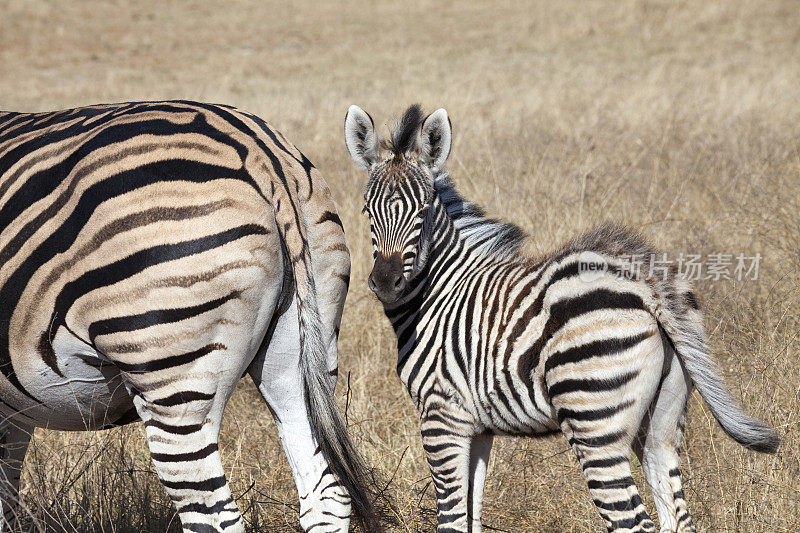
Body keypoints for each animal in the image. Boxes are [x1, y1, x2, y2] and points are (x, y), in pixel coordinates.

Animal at [0, 101, 380, 532]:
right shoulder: (15, 415)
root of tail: (261, 152)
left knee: (214, 515)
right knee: (326, 492)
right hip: (302, 352)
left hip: (171, 373)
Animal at [346, 104, 780, 532]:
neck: (441, 292)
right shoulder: (478, 428)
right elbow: (471, 515)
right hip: (660, 423)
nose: (385, 283)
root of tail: (648, 287)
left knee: (633, 521)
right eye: (367, 210)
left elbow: (451, 519)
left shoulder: (441, 415)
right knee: (677, 517)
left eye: (422, 211)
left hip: (593, 420)